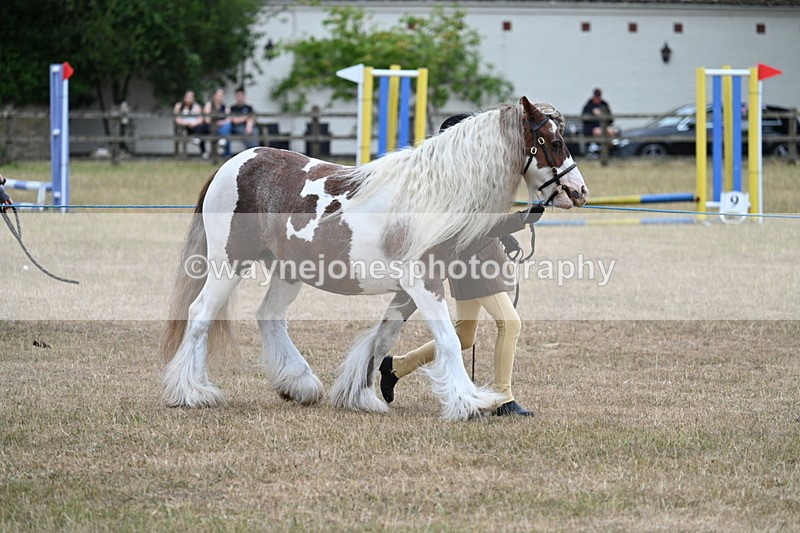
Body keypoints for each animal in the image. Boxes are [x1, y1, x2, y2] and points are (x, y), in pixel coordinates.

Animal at [162, 96, 588, 420]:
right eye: (552, 141)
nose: (578, 191)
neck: (433, 197)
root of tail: (233, 163)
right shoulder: (424, 285)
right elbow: (449, 341)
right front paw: (468, 403)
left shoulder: (408, 292)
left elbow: (384, 338)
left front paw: (361, 395)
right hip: (228, 264)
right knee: (201, 315)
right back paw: (191, 392)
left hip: (288, 270)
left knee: (269, 316)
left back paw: (299, 385)